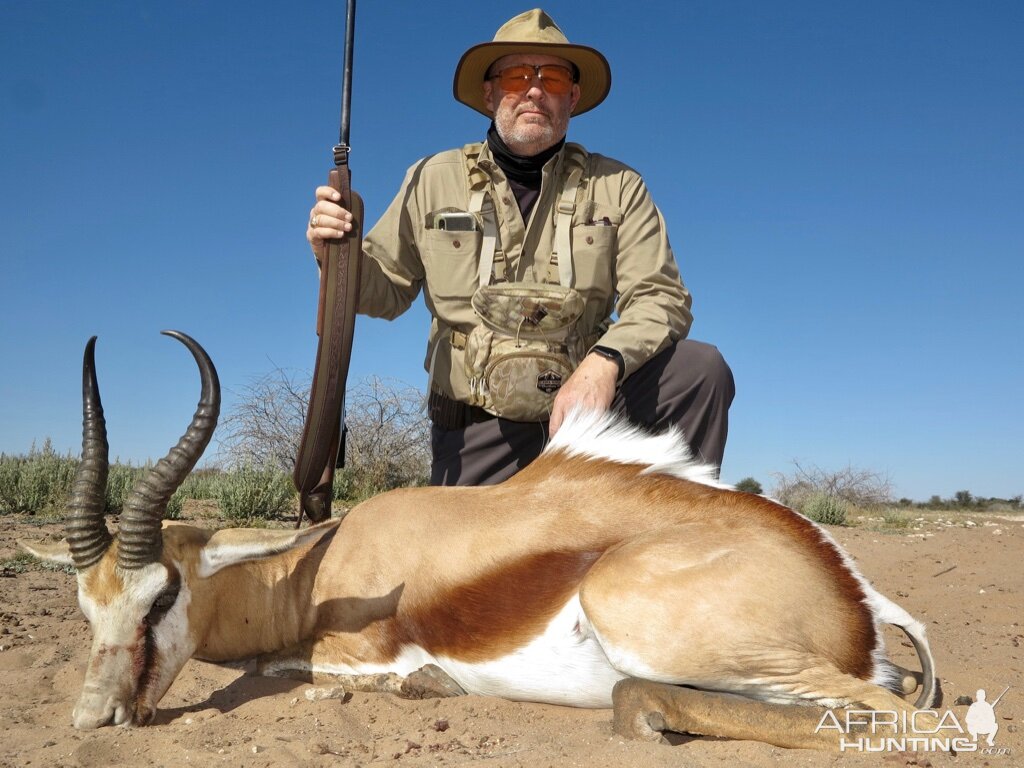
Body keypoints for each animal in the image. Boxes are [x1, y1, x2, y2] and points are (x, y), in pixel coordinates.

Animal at [22, 331, 937, 753]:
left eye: (162, 594)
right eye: (84, 606)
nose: (94, 718)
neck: (321, 566)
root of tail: (848, 590)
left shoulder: (352, 649)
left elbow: (289, 669)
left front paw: (425, 686)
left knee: (886, 719)